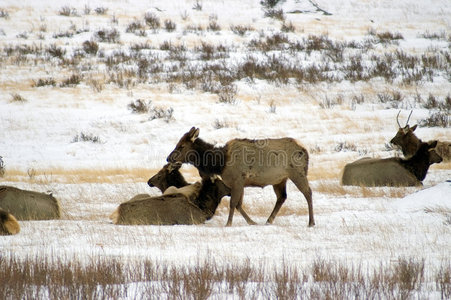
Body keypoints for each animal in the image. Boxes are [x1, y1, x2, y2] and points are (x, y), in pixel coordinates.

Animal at [166, 126, 314, 227]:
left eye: (181, 146)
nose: (168, 158)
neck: (220, 163)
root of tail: (306, 151)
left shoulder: (237, 180)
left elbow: (232, 203)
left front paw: (228, 224)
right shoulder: (240, 183)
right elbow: (238, 204)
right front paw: (252, 222)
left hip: (297, 173)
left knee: (308, 192)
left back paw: (311, 222)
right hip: (279, 179)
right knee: (282, 197)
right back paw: (268, 220)